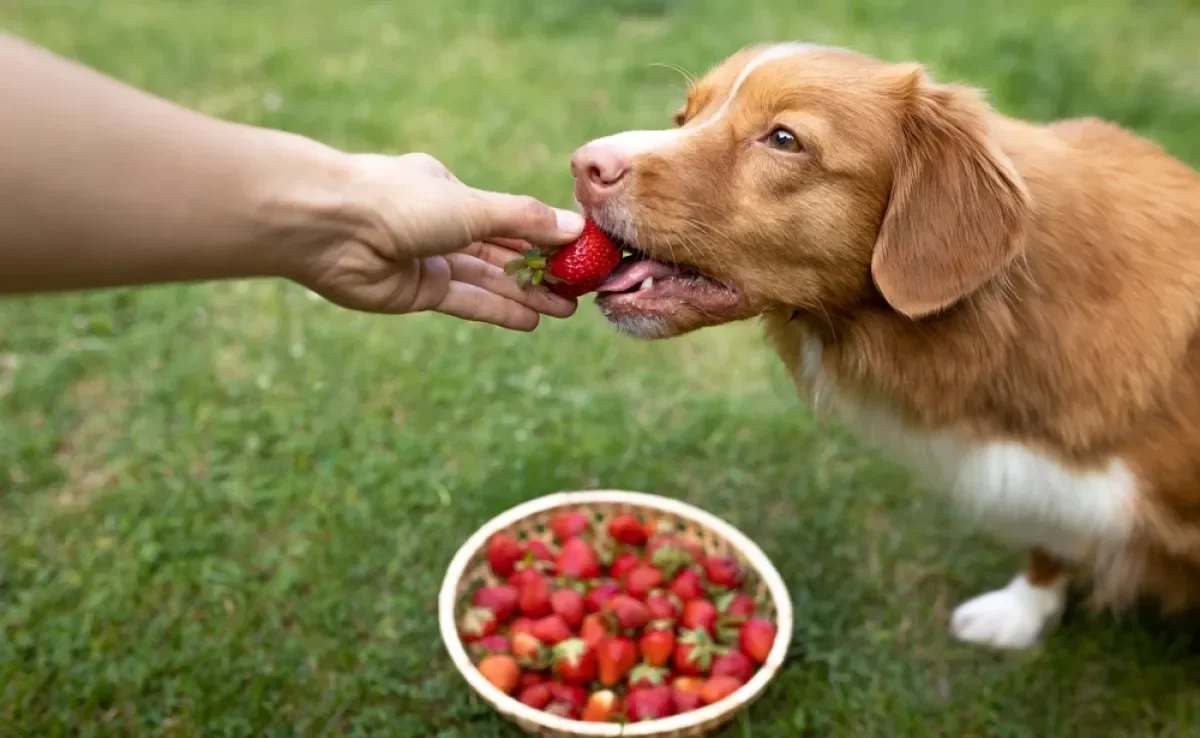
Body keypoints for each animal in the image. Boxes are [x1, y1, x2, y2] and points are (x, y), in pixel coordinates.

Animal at [566, 43, 1200, 648]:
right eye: (684, 116)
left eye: (784, 139)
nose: (584, 163)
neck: (1010, 318)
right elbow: (1052, 541)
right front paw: (1020, 611)